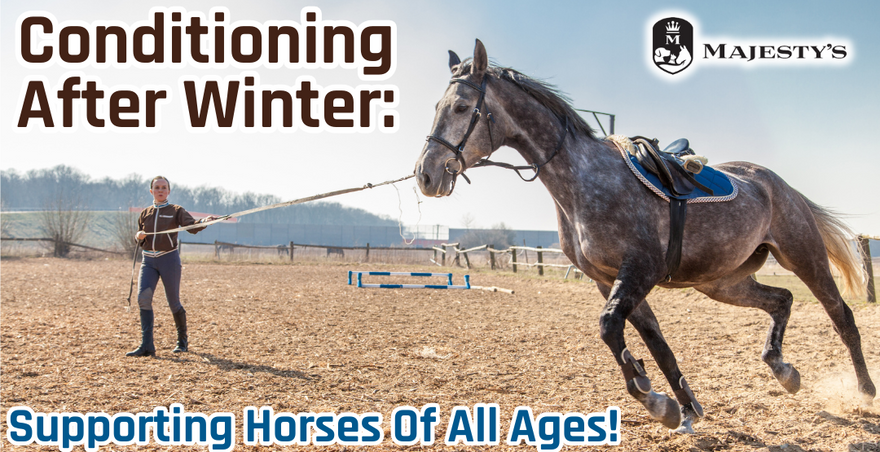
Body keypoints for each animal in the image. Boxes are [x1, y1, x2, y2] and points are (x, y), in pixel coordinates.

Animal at [414, 39, 874, 433]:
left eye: (461, 107)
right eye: (436, 106)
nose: (426, 175)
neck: (583, 180)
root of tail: (779, 184)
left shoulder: (640, 269)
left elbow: (610, 328)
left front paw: (654, 400)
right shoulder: (608, 280)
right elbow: (655, 343)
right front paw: (683, 408)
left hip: (804, 257)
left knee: (842, 317)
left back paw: (865, 391)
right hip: (722, 282)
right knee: (782, 300)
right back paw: (783, 370)